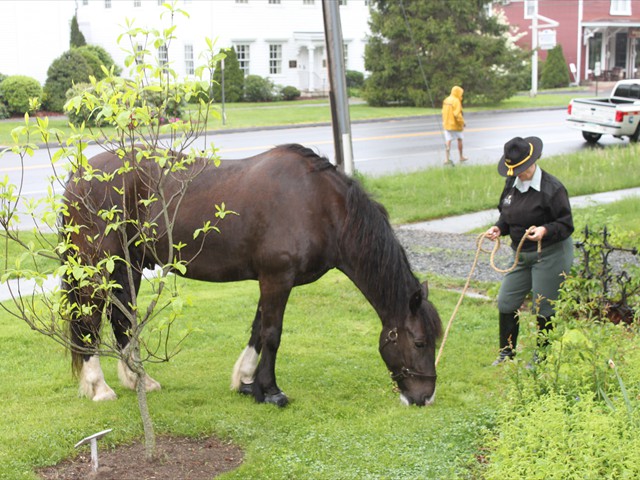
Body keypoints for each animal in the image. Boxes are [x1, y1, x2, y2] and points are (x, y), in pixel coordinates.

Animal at [62, 143, 442, 407]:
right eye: (420, 342)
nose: (425, 396)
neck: (320, 205)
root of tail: (79, 176)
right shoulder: (277, 278)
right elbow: (272, 334)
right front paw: (271, 391)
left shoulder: (271, 280)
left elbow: (258, 330)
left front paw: (247, 382)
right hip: (98, 267)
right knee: (89, 321)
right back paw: (100, 388)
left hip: (127, 267)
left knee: (121, 319)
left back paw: (139, 380)